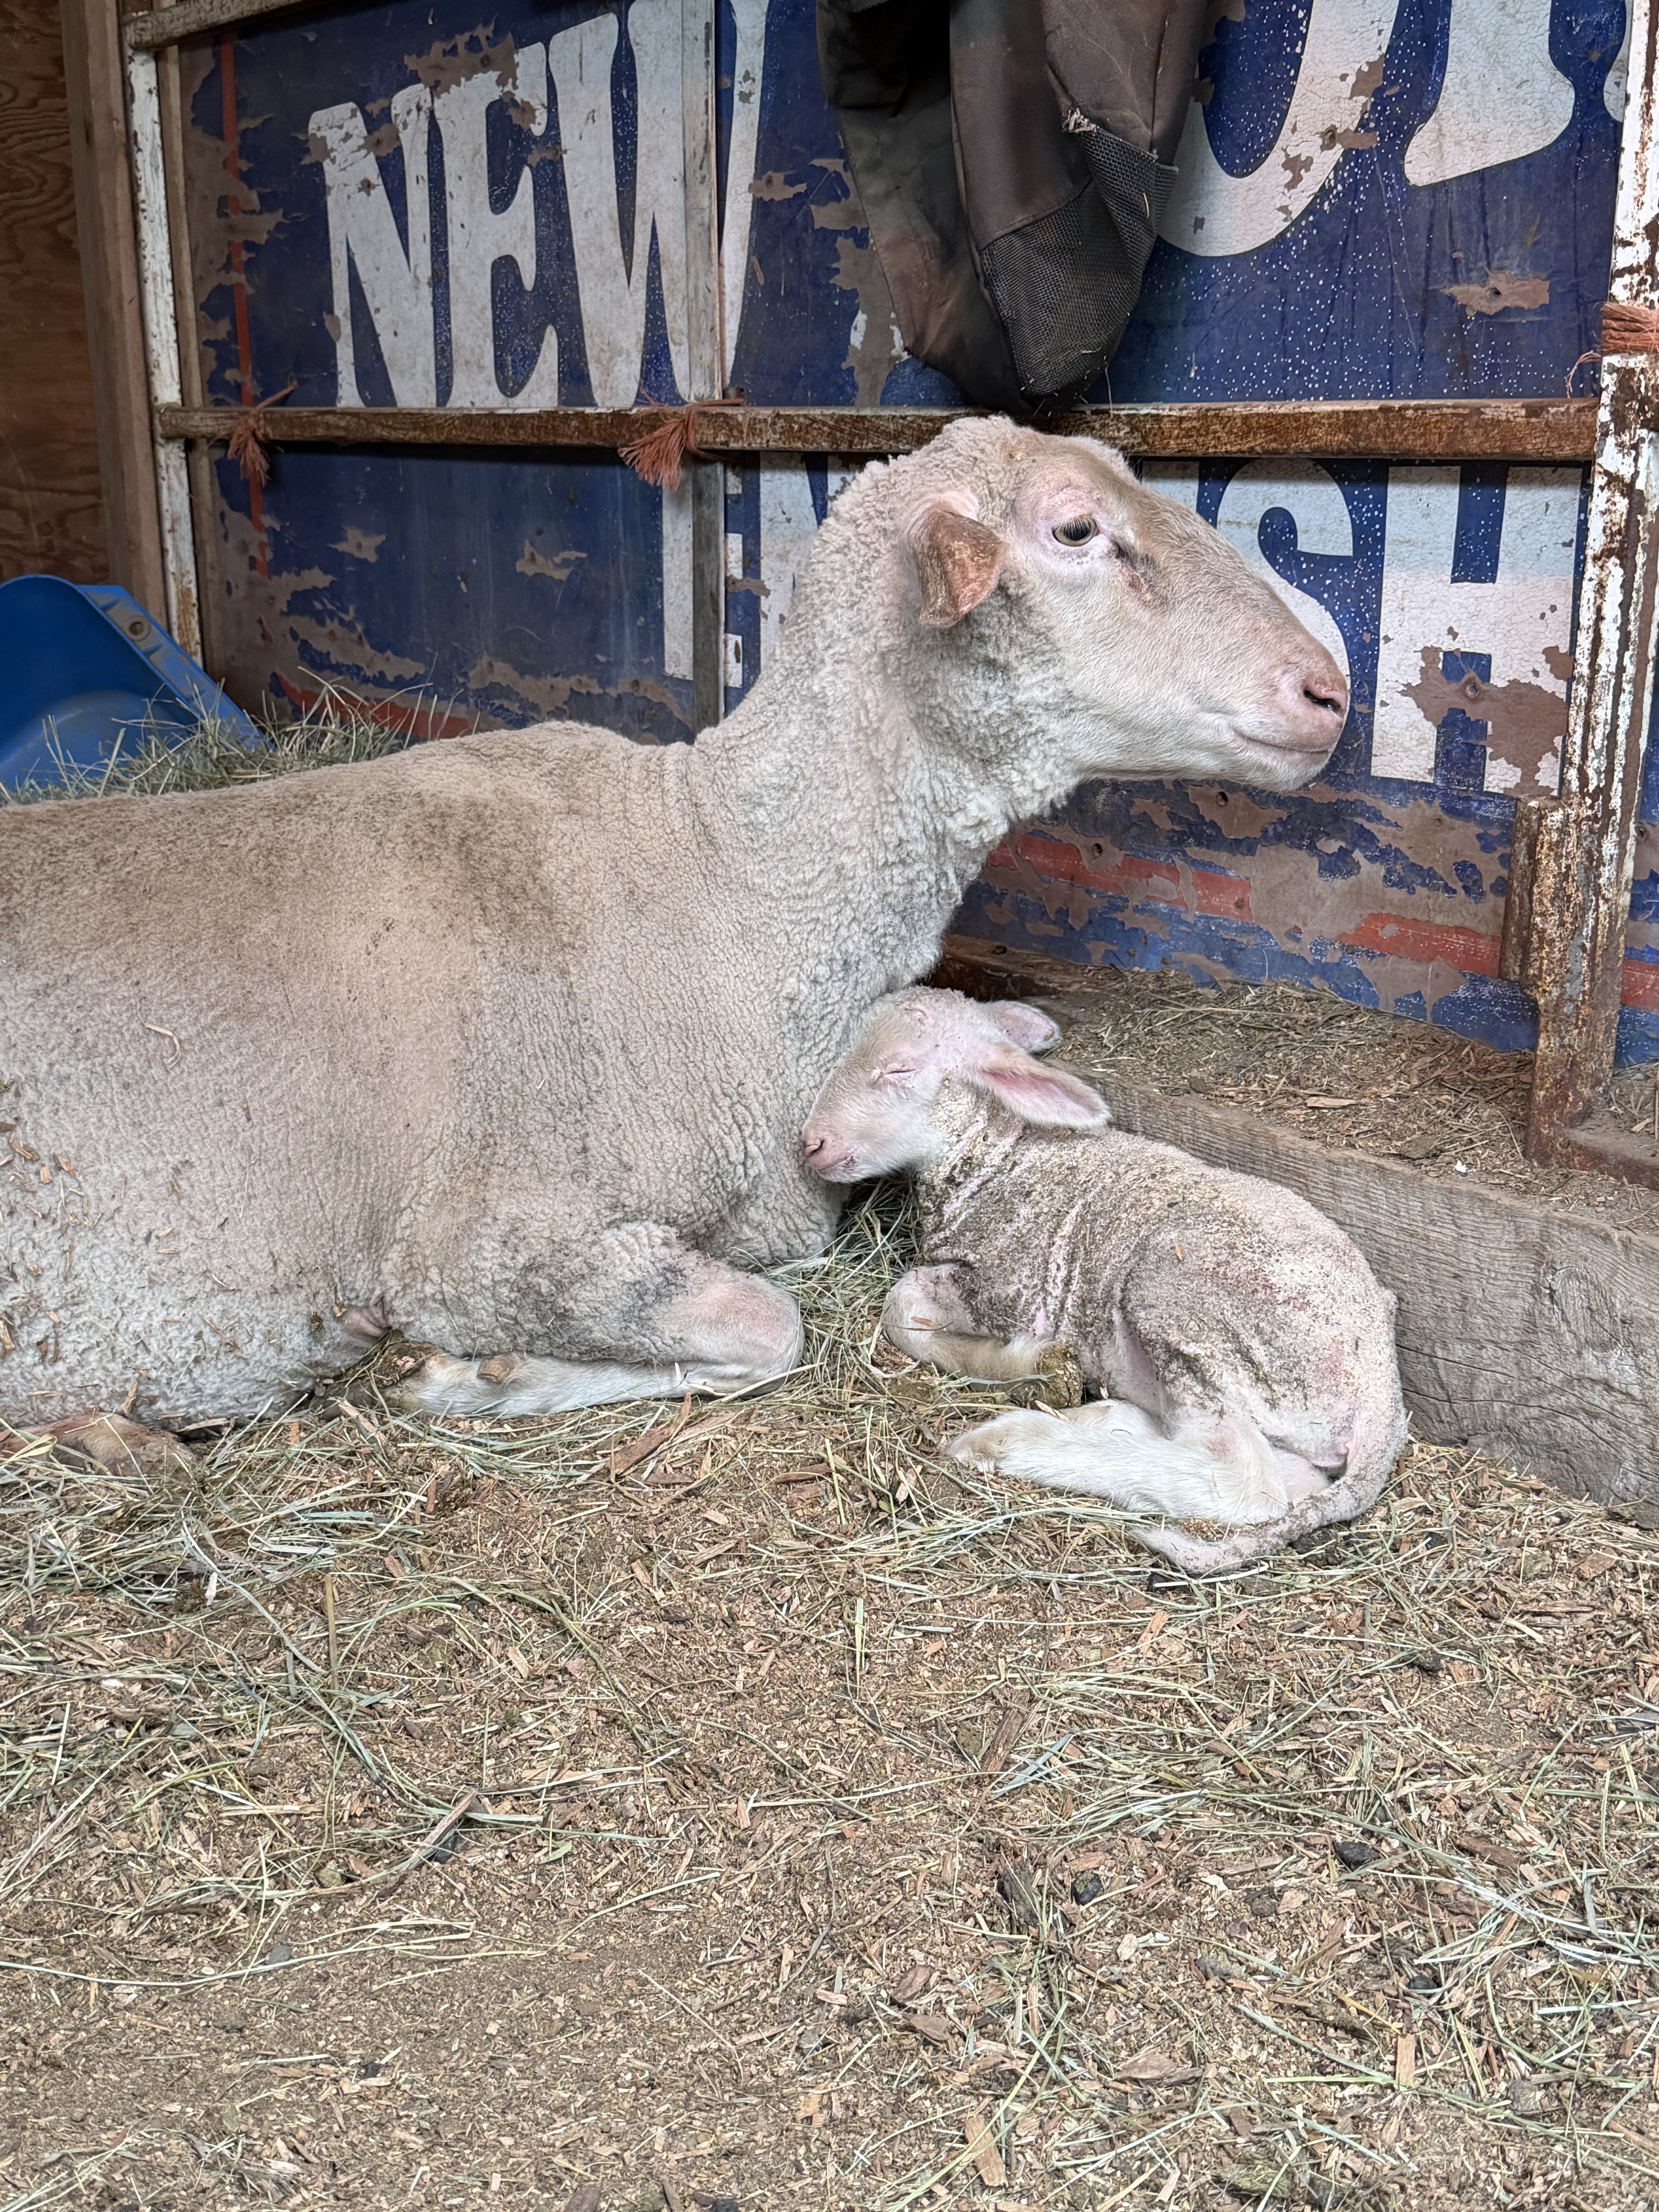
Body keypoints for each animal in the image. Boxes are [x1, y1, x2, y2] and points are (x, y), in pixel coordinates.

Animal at [1, 417, 1347, 1434]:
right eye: (1074, 530)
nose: (1329, 690)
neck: (724, 895)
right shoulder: (471, 1243)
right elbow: (768, 1322)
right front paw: (476, 1377)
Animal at [801, 989, 1408, 1572]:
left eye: (900, 1068)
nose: (811, 1144)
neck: (996, 1157)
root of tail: (1381, 1393)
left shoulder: (1013, 1289)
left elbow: (902, 1307)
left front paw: (1030, 1367)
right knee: (1289, 1476)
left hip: (1185, 1305)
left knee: (1244, 1484)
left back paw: (1012, 1440)